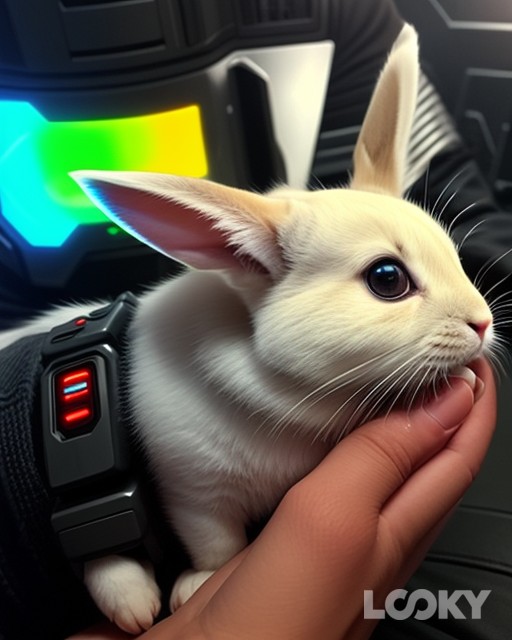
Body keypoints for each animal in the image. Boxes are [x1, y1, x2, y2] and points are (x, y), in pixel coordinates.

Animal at [0, 24, 494, 634]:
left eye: (453, 252)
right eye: (387, 279)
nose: (483, 323)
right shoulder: (191, 491)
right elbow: (215, 543)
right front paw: (178, 592)